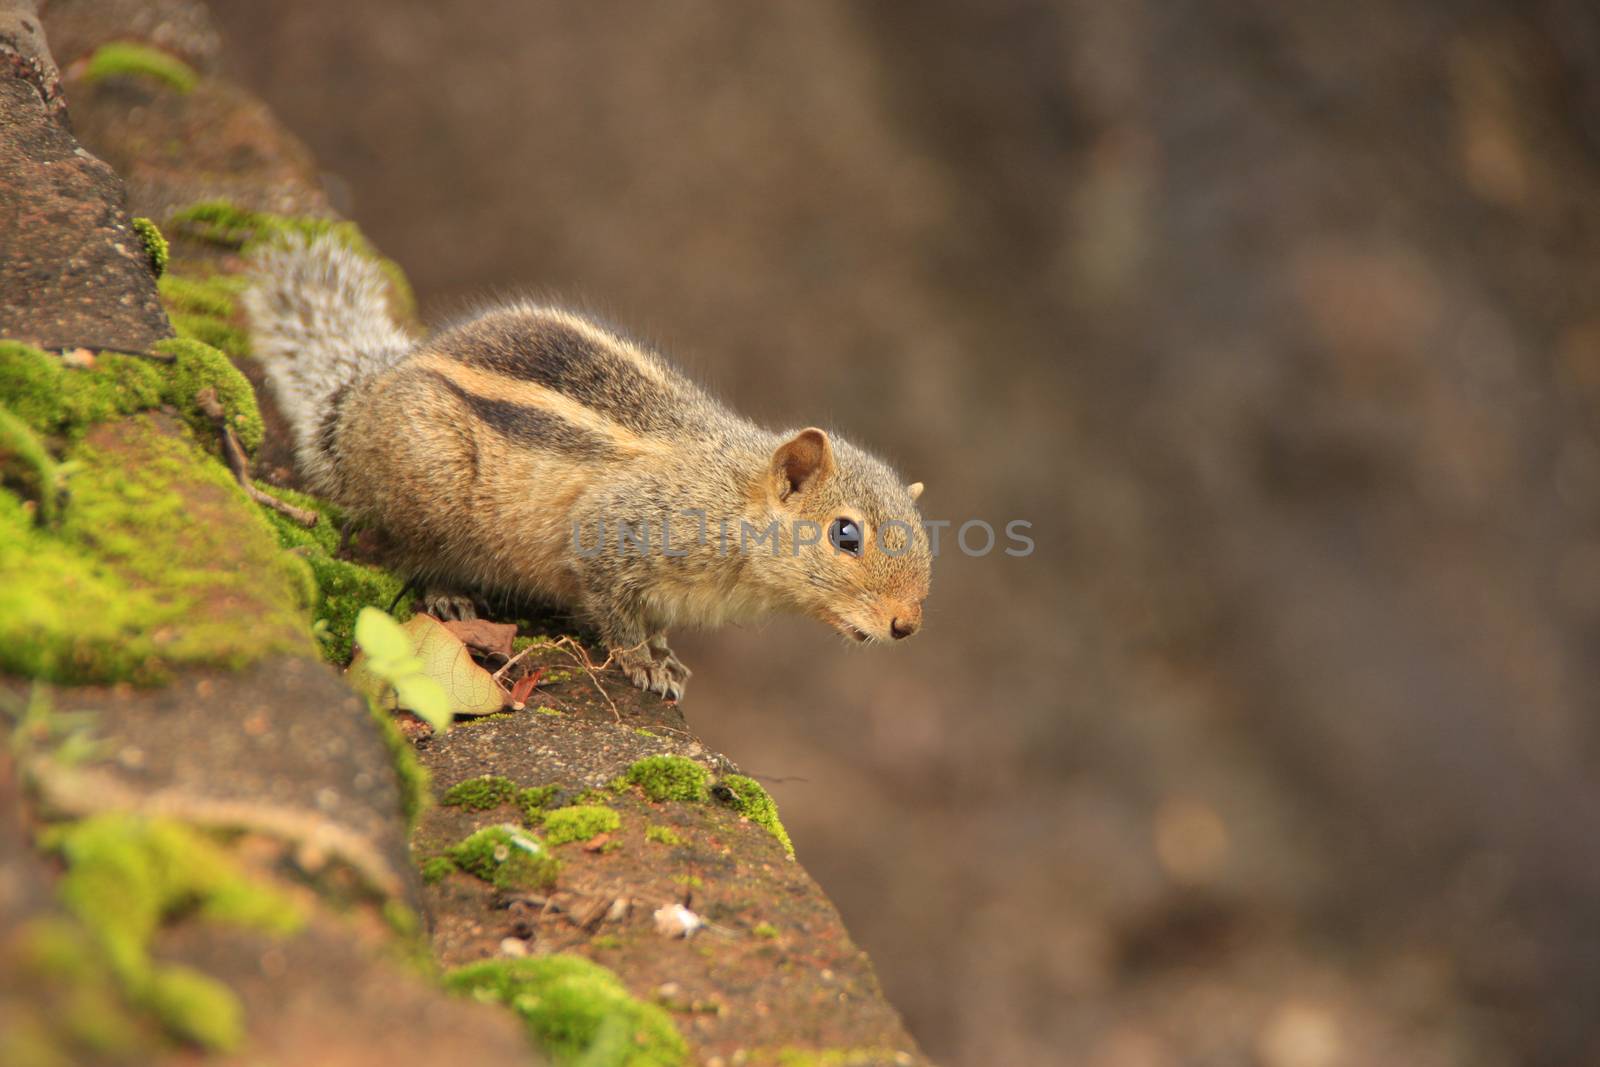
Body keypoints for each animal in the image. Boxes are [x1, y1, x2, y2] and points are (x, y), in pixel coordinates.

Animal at [243, 235, 934, 700]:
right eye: (845, 535)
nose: (906, 626)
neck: (728, 494)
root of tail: (364, 400)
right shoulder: (615, 533)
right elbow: (613, 609)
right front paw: (643, 663)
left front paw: (665, 654)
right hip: (429, 483)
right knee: (400, 548)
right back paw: (447, 591)